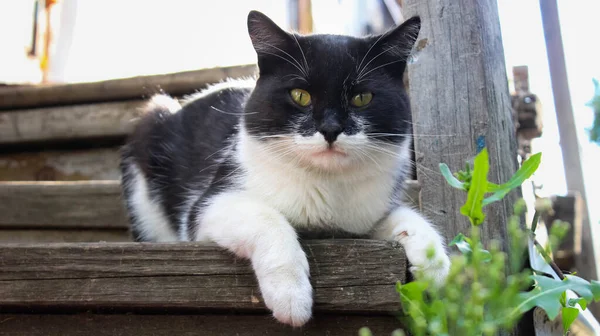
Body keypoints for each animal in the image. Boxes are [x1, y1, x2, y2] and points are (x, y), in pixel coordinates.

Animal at [119, 11, 450, 328]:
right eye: (300, 95)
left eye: (362, 97)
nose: (331, 129)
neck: (326, 189)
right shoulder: (207, 207)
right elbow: (267, 218)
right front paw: (291, 296)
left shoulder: (364, 214)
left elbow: (406, 217)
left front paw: (436, 267)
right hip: (151, 127)